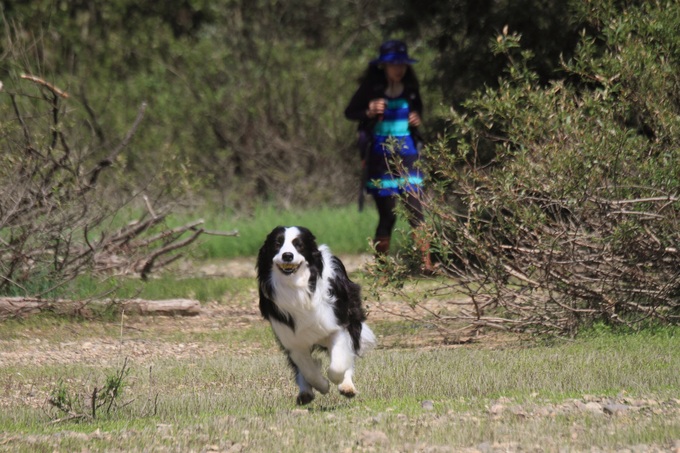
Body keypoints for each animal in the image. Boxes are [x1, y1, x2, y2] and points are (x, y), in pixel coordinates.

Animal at [258, 224, 378, 404]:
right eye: (277, 244)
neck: (297, 288)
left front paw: (337, 380)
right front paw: (322, 385)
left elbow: (338, 364)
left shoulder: (336, 323)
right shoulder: (291, 337)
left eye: (299, 245)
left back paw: (347, 387)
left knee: (350, 352)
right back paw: (305, 393)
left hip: (352, 316)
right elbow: (307, 369)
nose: (287, 255)